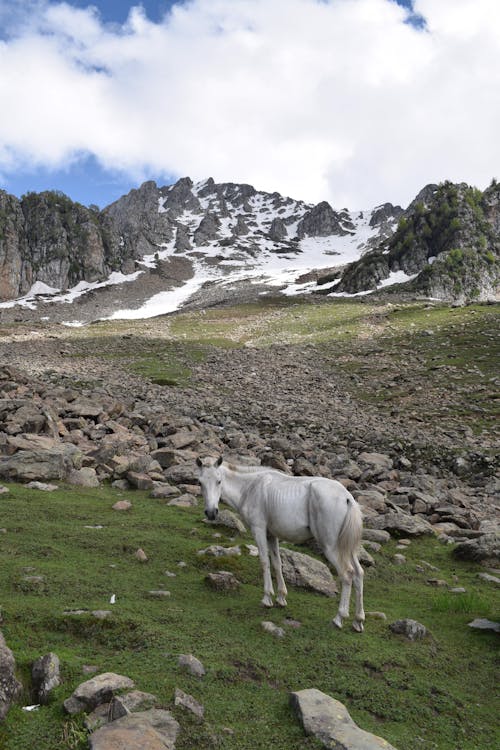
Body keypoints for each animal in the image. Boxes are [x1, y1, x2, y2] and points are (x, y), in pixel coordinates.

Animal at [197, 458, 366, 636]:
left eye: (219, 481)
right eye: (200, 482)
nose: (211, 513)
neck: (250, 487)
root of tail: (347, 497)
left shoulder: (259, 530)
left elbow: (264, 562)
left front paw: (267, 598)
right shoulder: (272, 535)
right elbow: (277, 563)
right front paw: (281, 597)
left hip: (331, 547)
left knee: (347, 574)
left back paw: (339, 618)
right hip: (348, 549)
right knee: (358, 574)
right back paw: (358, 621)